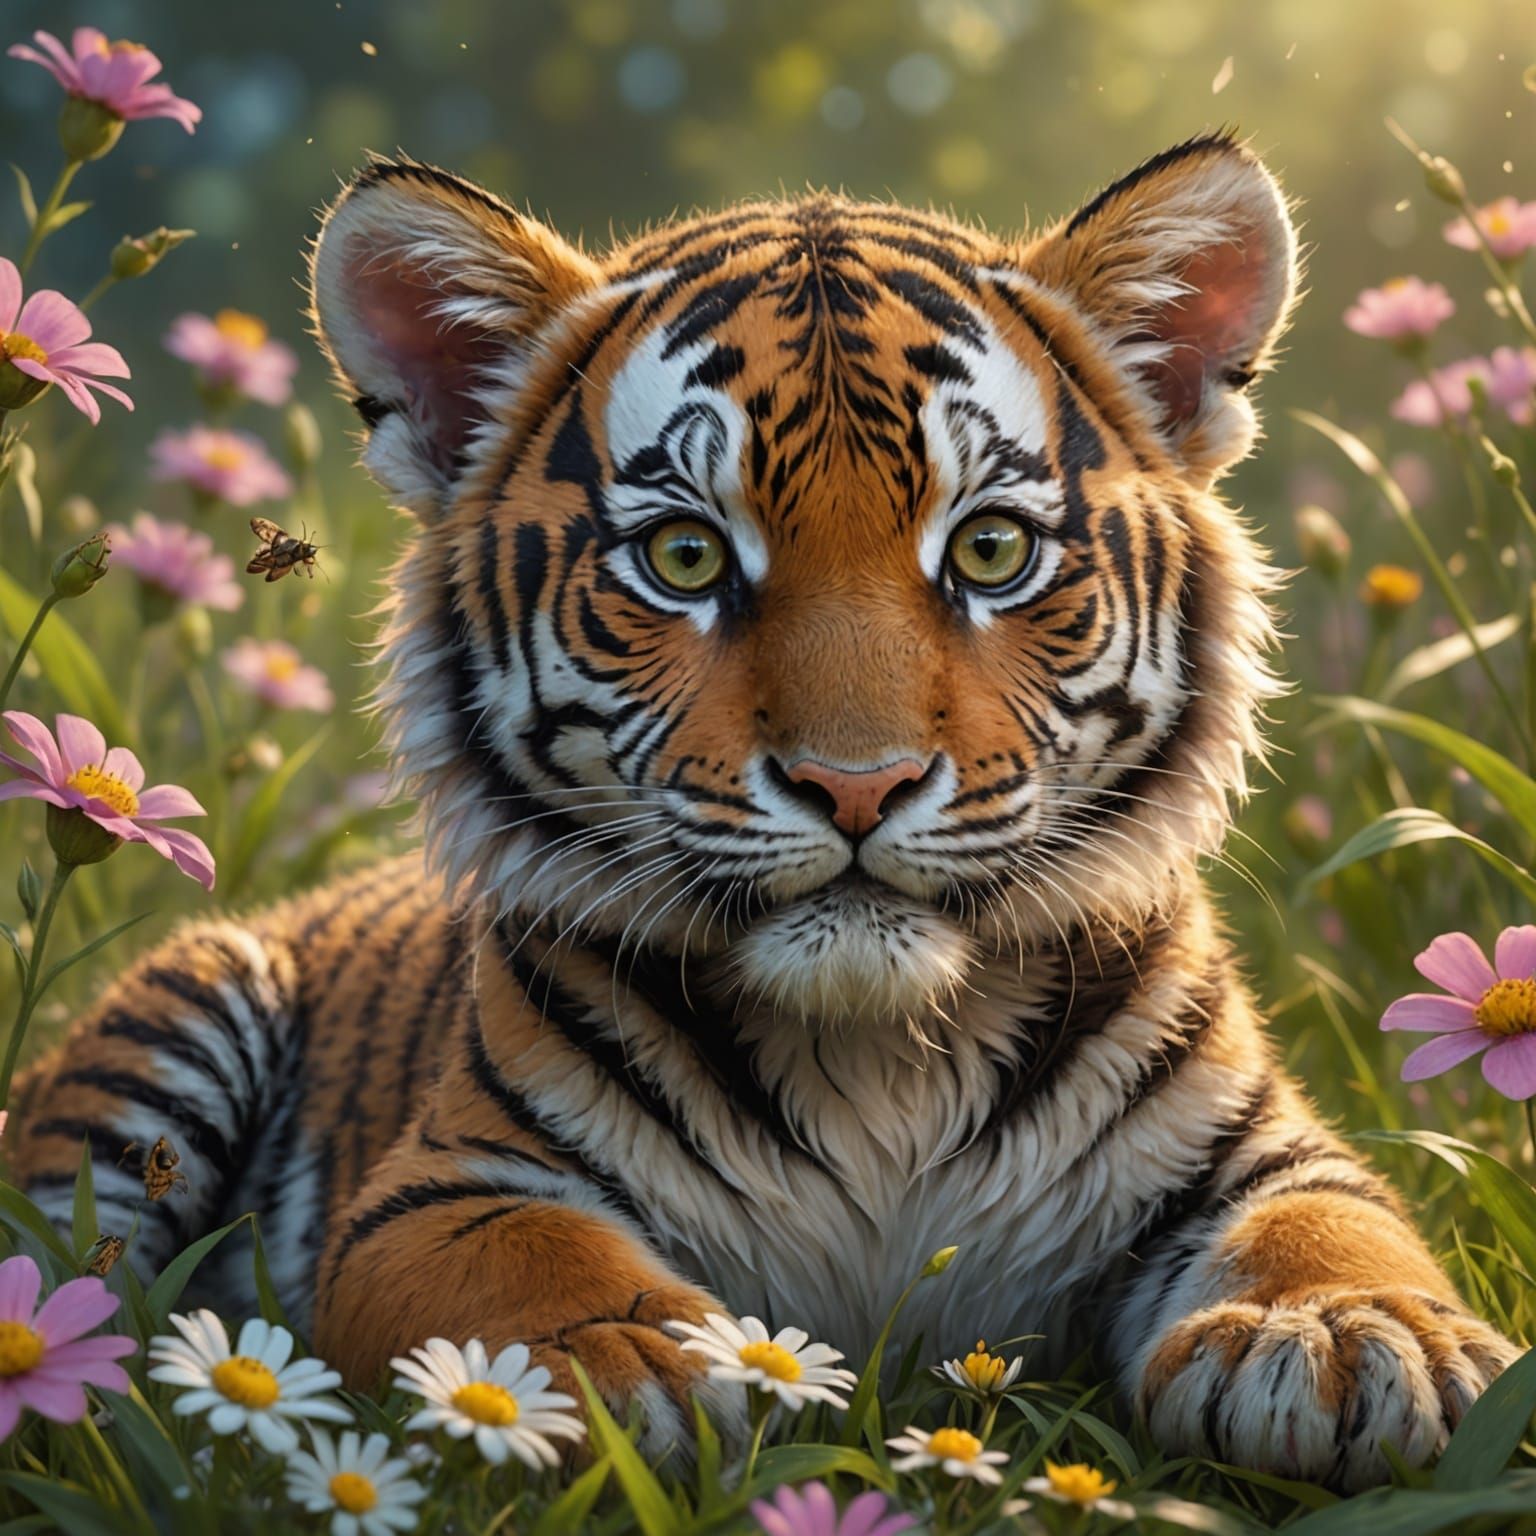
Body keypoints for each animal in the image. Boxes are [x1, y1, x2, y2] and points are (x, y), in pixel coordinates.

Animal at [12, 132, 1517, 1491]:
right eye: (686, 557)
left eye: (990, 548)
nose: (856, 784)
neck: (881, 1065)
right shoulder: (447, 1185)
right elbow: (527, 1265)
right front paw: (618, 1362)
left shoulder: (1260, 1151)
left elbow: (1332, 1228)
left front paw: (1348, 1338)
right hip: (176, 1033)